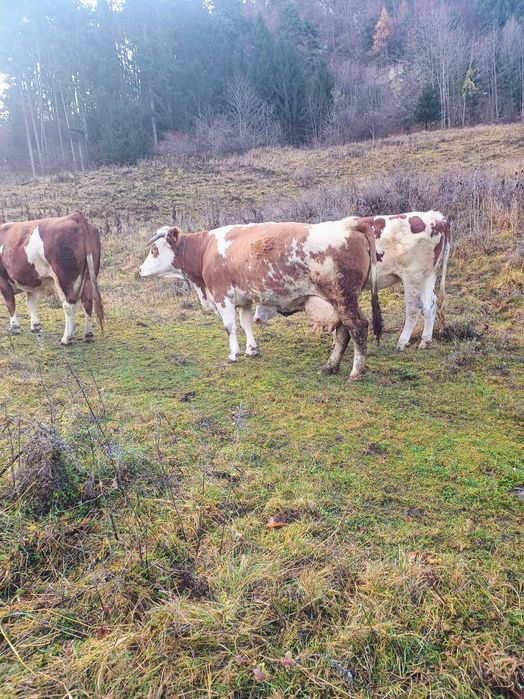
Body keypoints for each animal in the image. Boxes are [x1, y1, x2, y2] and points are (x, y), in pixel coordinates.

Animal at [0, 211, 104, 345]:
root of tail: (74, 216)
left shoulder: (3, 281)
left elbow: (10, 303)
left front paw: (15, 327)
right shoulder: (31, 281)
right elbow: (31, 302)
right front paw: (35, 325)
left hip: (63, 278)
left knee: (69, 305)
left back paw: (66, 338)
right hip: (90, 276)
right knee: (87, 301)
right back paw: (88, 335)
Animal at [139, 218, 383, 380]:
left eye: (154, 249)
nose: (139, 270)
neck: (206, 251)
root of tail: (350, 223)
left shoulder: (222, 296)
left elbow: (230, 327)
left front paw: (233, 354)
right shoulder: (244, 299)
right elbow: (246, 324)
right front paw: (251, 349)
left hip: (344, 298)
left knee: (357, 327)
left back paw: (356, 371)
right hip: (340, 302)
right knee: (343, 331)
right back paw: (330, 367)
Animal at [254, 210, 451, 351]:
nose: (256, 318)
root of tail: (436, 218)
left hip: (413, 277)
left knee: (413, 308)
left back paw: (402, 342)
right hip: (428, 276)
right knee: (430, 304)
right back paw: (425, 341)